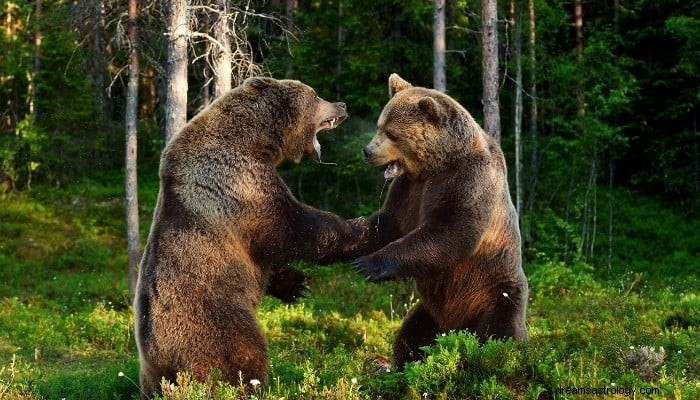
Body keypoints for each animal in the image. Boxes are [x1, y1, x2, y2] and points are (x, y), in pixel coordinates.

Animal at [133, 76, 370, 396]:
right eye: (315, 95)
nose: (342, 104)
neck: (255, 140)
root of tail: (161, 356)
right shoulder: (238, 182)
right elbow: (291, 227)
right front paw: (358, 227)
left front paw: (295, 285)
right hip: (215, 320)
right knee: (244, 354)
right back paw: (255, 386)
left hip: (152, 374)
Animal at [352, 74, 528, 368]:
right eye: (380, 126)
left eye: (391, 133)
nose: (367, 151)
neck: (437, 164)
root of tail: (455, 327)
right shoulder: (410, 189)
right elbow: (389, 224)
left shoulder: (468, 181)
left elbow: (450, 233)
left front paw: (368, 264)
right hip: (430, 312)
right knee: (412, 334)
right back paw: (401, 366)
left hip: (494, 292)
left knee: (500, 334)